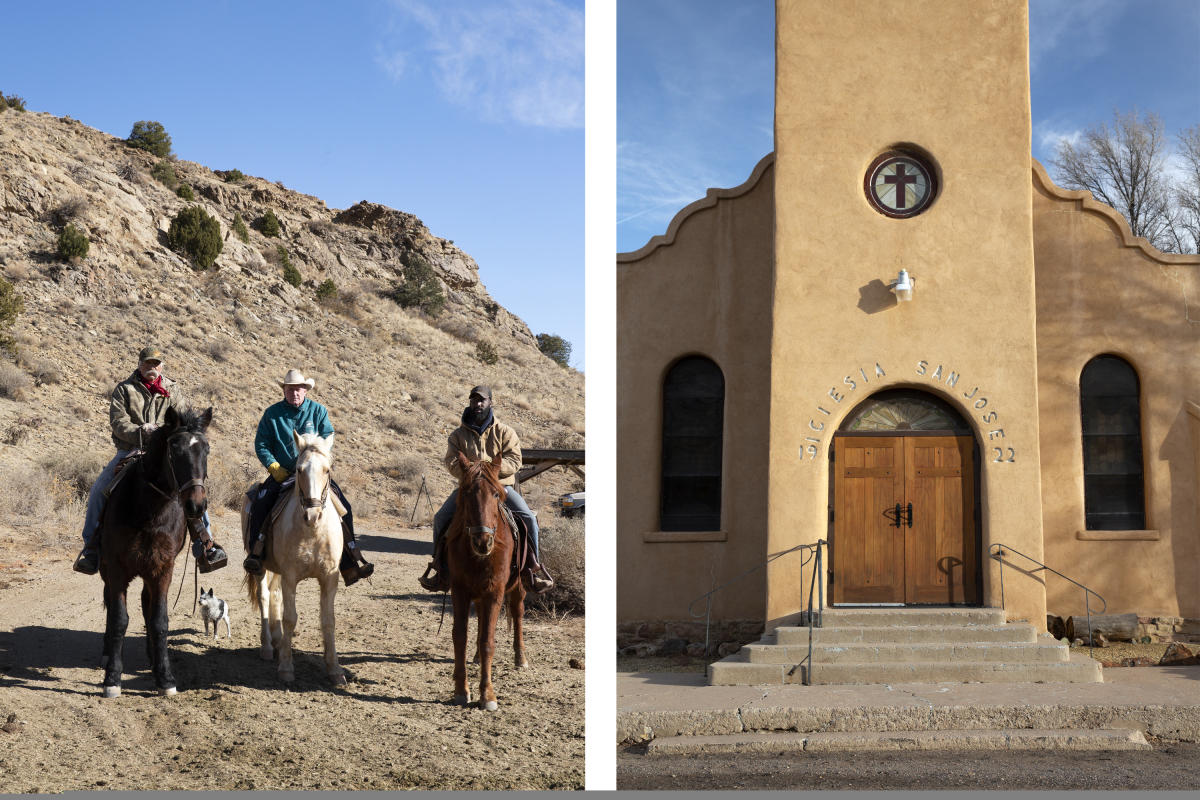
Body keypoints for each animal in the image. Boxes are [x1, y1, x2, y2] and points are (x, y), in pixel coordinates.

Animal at [98, 407, 213, 695]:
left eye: (206, 449)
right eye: (175, 450)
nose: (196, 505)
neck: (149, 511)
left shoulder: (162, 569)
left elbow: (159, 620)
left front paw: (165, 678)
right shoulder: (116, 569)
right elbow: (119, 619)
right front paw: (112, 678)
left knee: (146, 605)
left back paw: (152, 657)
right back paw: (107, 653)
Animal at [446, 453, 530, 710]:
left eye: (496, 494)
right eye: (466, 493)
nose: (483, 542)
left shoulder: (495, 592)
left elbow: (488, 641)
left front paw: (488, 695)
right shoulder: (459, 590)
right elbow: (460, 637)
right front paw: (461, 690)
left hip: (517, 589)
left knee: (518, 613)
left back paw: (520, 658)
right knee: (482, 622)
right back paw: (474, 658)